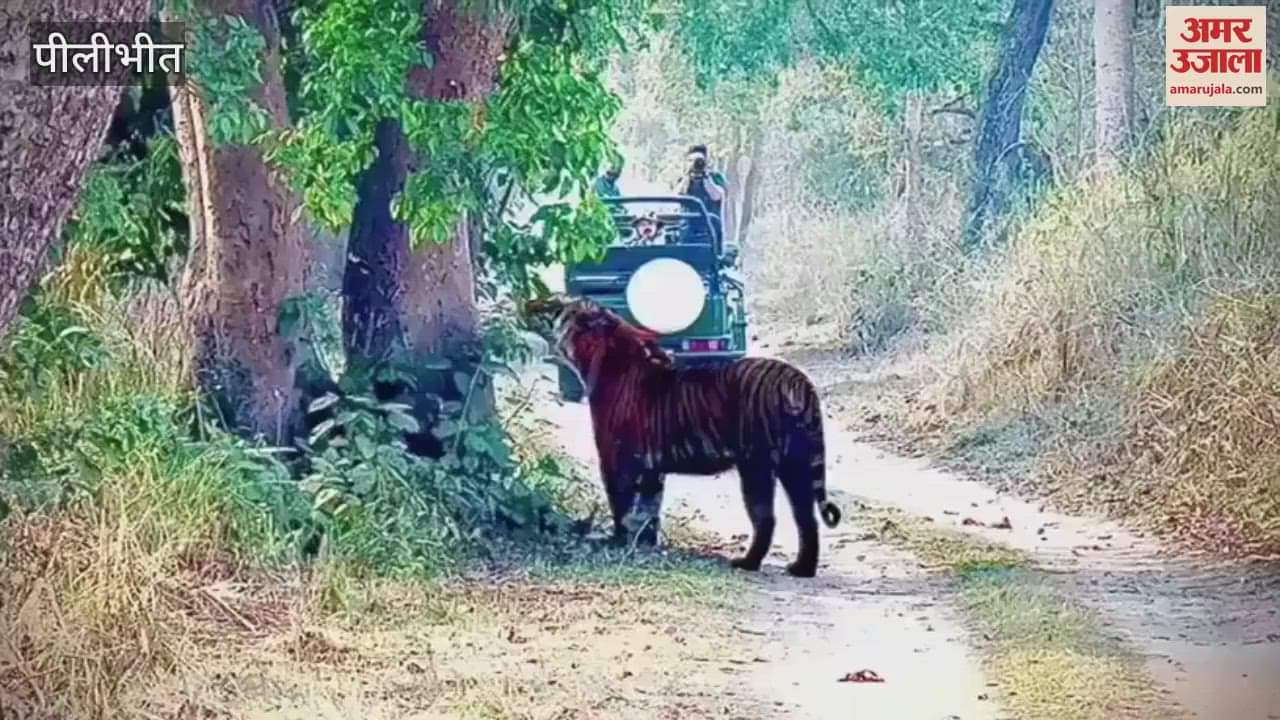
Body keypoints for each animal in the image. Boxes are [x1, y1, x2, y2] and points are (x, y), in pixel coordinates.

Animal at [522, 294, 842, 578]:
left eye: (553, 303)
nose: (528, 302)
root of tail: (797, 381)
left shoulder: (615, 460)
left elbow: (621, 504)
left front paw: (618, 541)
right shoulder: (650, 469)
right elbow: (648, 509)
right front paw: (646, 543)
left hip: (757, 466)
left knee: (766, 517)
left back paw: (748, 563)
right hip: (796, 464)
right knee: (806, 518)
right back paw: (802, 568)